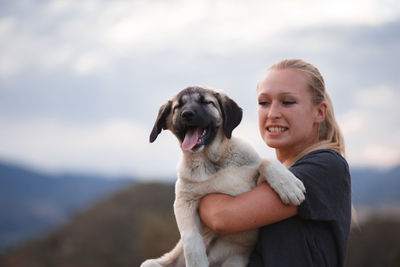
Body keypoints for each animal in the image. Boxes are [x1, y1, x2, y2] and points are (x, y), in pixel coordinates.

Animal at [141, 87, 306, 266]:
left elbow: (265, 161)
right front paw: (197, 261)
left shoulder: (254, 185)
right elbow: (191, 239)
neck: (211, 160)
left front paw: (288, 185)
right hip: (150, 263)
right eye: (178, 107)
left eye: (206, 102)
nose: (187, 114)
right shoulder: (184, 201)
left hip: (236, 261)